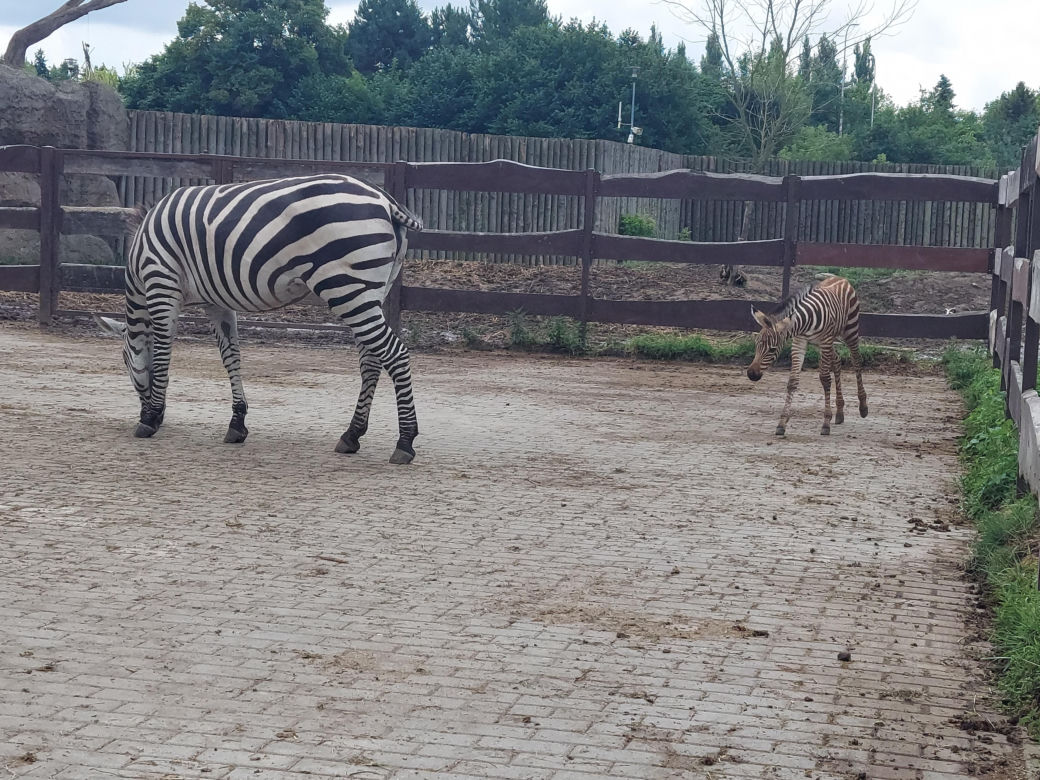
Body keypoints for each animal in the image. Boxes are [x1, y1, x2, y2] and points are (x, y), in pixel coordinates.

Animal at [97, 173, 423, 464]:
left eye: (124, 362)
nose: (151, 414)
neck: (140, 259)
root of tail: (385, 199)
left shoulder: (162, 284)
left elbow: (163, 352)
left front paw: (150, 419)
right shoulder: (216, 302)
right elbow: (231, 357)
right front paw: (237, 423)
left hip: (347, 289)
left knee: (396, 354)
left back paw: (405, 442)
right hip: (372, 291)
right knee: (371, 360)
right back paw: (352, 435)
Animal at [746, 273, 868, 436]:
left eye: (772, 349)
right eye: (756, 345)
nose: (751, 374)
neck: (805, 322)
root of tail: (840, 277)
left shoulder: (825, 340)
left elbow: (825, 379)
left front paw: (825, 423)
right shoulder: (799, 342)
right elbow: (792, 382)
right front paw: (782, 423)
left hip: (850, 331)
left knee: (856, 360)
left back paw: (863, 406)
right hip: (823, 343)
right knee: (837, 361)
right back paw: (840, 412)